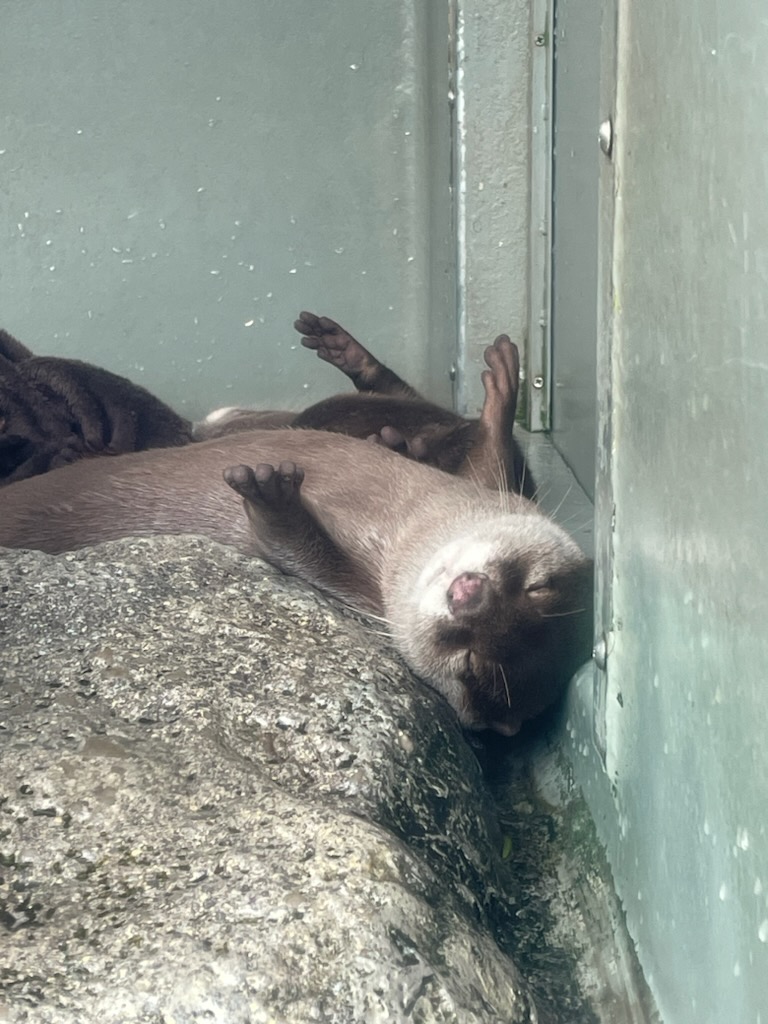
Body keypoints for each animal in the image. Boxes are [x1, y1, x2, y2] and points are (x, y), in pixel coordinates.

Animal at [0, 348, 593, 733]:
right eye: (538, 587)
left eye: (469, 667)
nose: (469, 595)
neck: (406, 518)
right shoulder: (477, 488)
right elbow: (492, 455)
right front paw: (503, 387)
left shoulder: (367, 586)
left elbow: (301, 554)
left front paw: (272, 500)